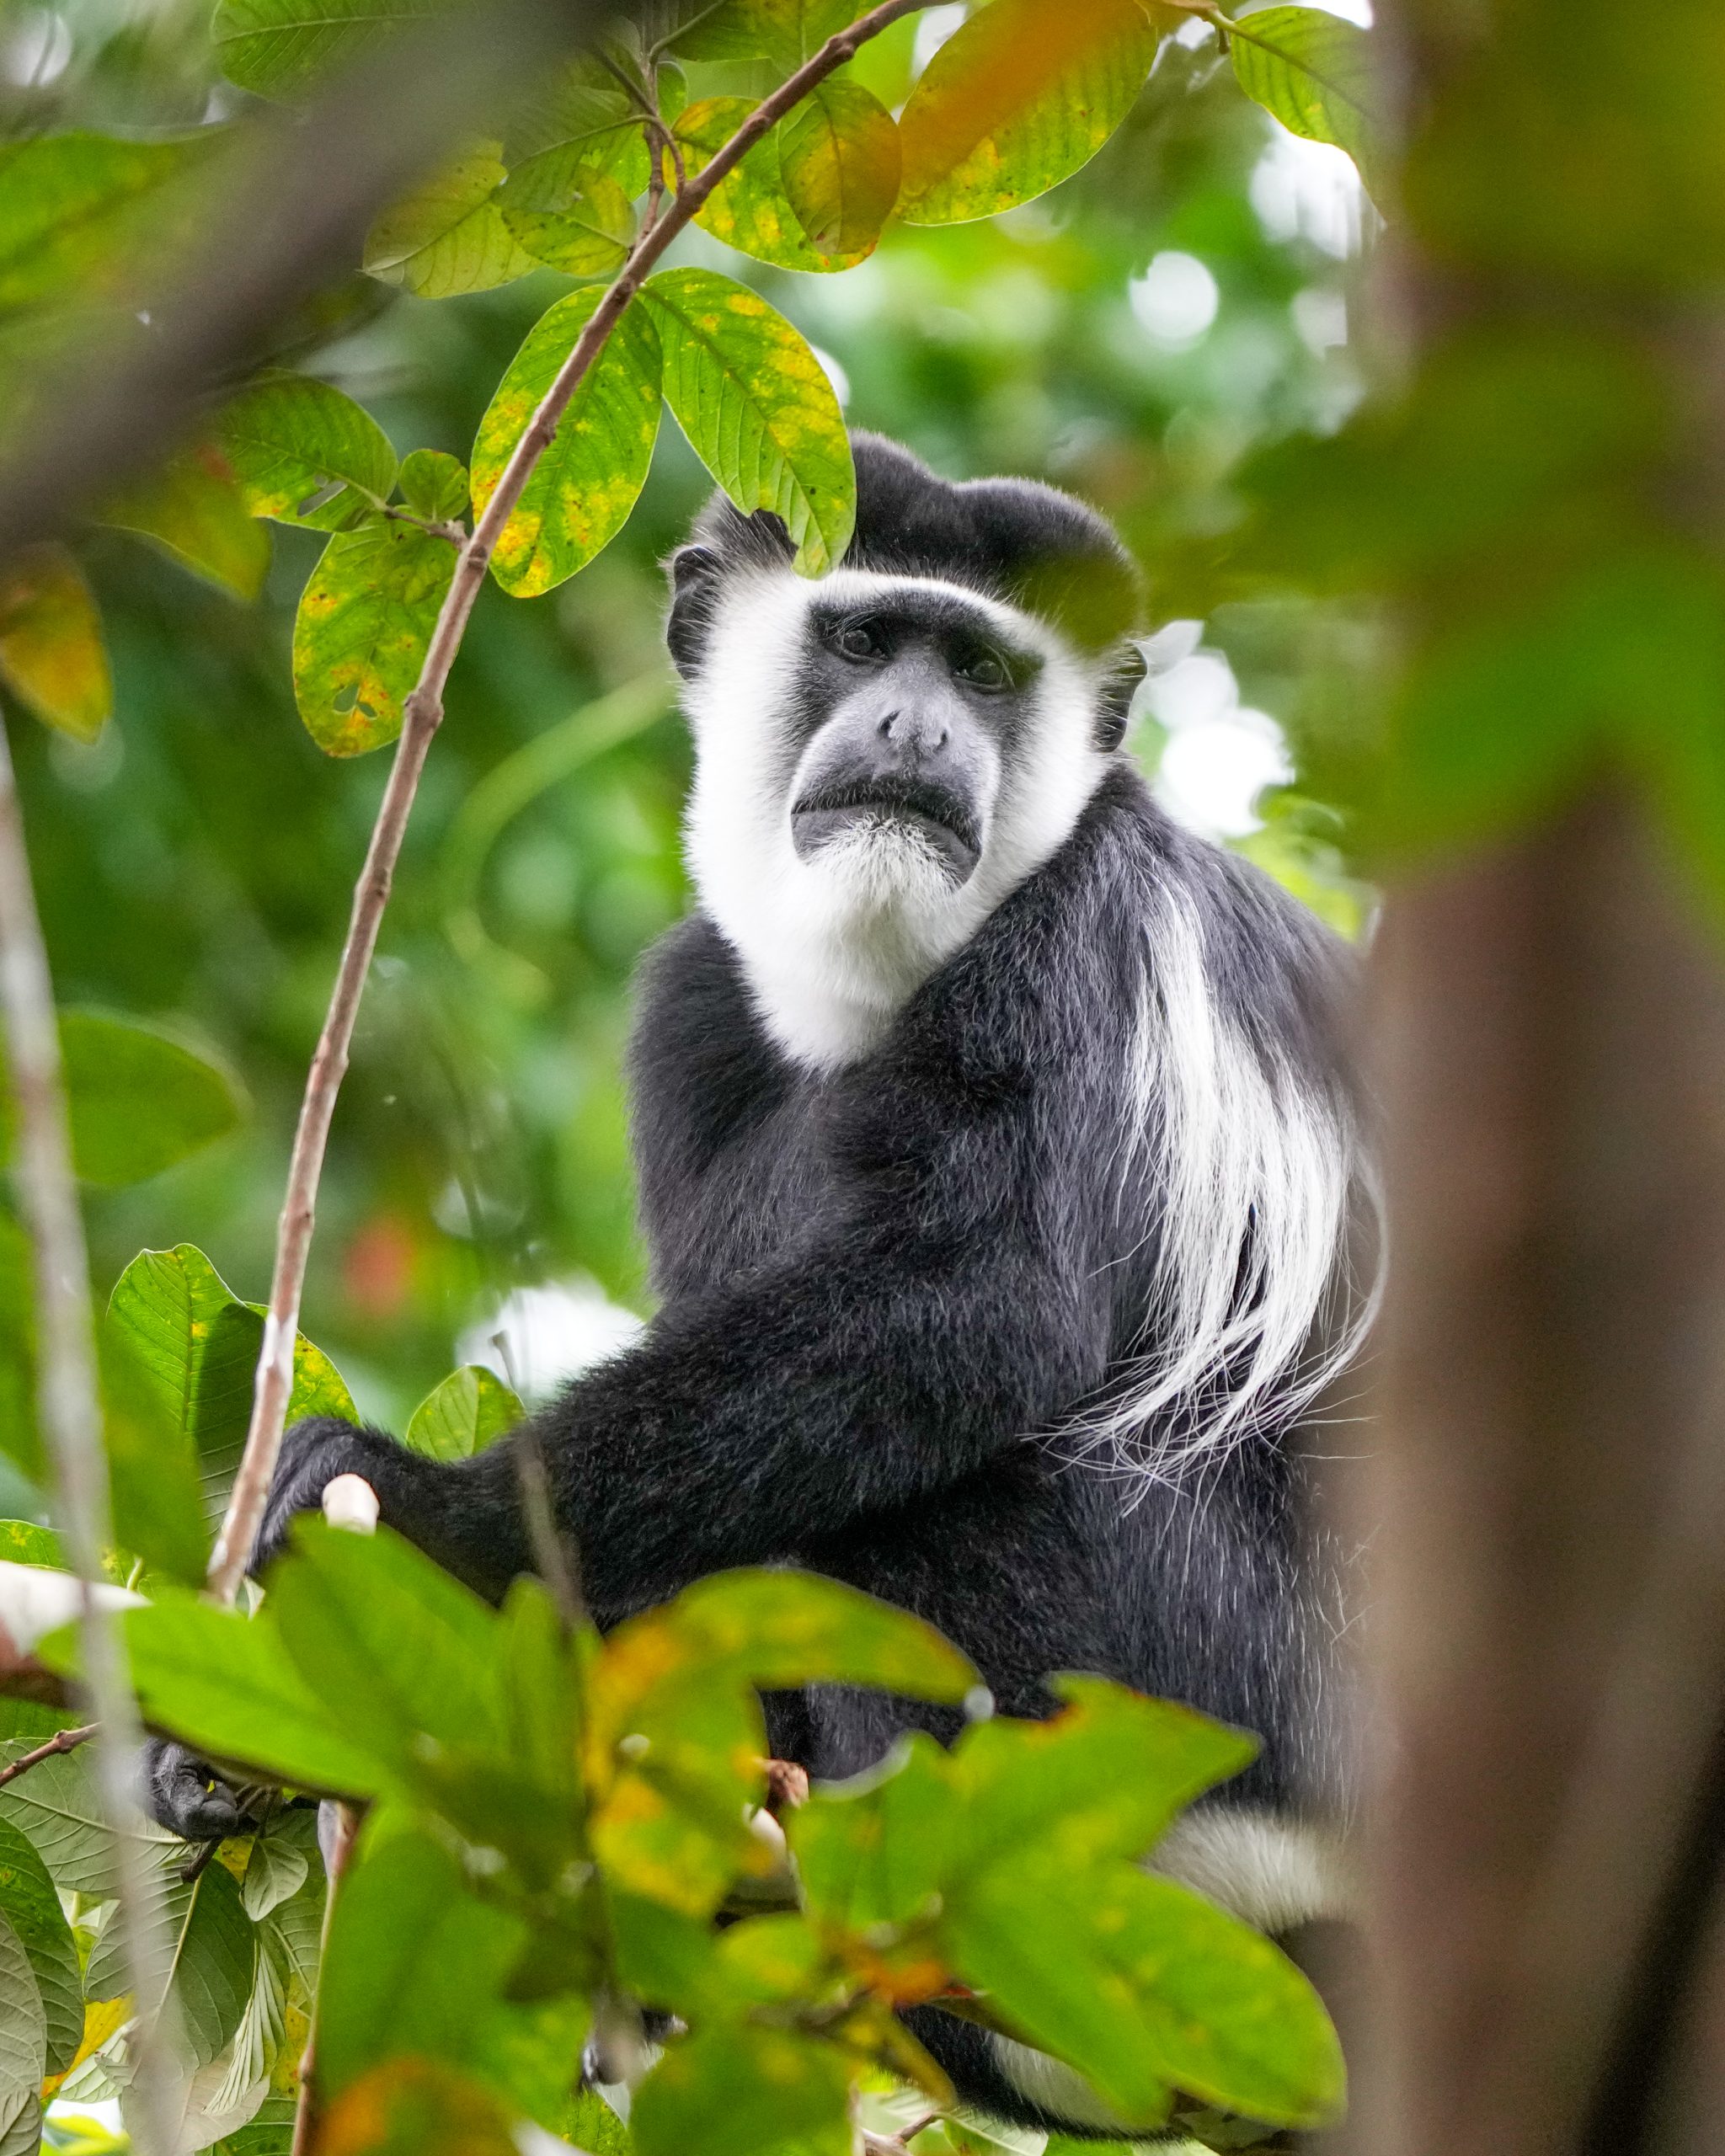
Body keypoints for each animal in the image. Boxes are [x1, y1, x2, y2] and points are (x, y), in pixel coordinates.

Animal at [144, 434, 1378, 2132]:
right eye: (863, 642)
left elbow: (979, 1304)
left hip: (1241, 1674)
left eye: (981, 671)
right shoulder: (691, 1011)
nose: (917, 729)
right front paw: (223, 1760)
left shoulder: (1093, 932)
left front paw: (419, 1511)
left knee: (932, 1522)